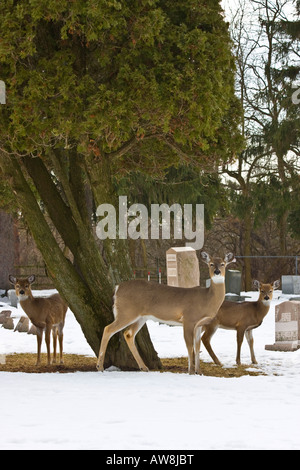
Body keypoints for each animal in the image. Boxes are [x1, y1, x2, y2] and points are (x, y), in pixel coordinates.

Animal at [97, 252, 236, 376]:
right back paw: (100, 366)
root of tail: (117, 288)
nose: (217, 272)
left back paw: (144, 367)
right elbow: (189, 345)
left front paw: (199, 371)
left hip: (141, 317)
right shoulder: (189, 319)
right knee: (108, 329)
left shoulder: (199, 324)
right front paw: (191, 371)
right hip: (126, 312)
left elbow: (197, 346)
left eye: (223, 264)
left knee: (128, 334)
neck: (207, 299)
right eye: (211, 264)